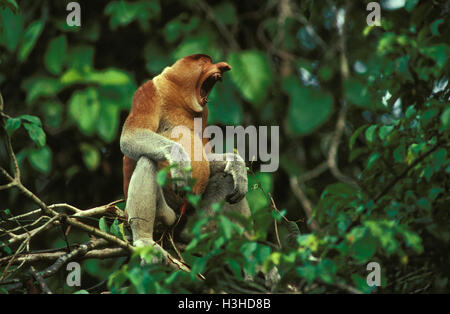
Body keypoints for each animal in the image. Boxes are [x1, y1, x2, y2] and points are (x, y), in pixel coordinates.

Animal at [120, 53, 250, 255]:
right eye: (204, 61)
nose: (223, 66)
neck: (178, 96)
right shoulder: (148, 91)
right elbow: (130, 136)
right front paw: (180, 161)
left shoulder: (204, 113)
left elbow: (206, 157)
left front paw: (237, 164)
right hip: (164, 213)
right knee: (147, 160)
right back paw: (145, 241)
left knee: (227, 178)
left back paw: (194, 234)